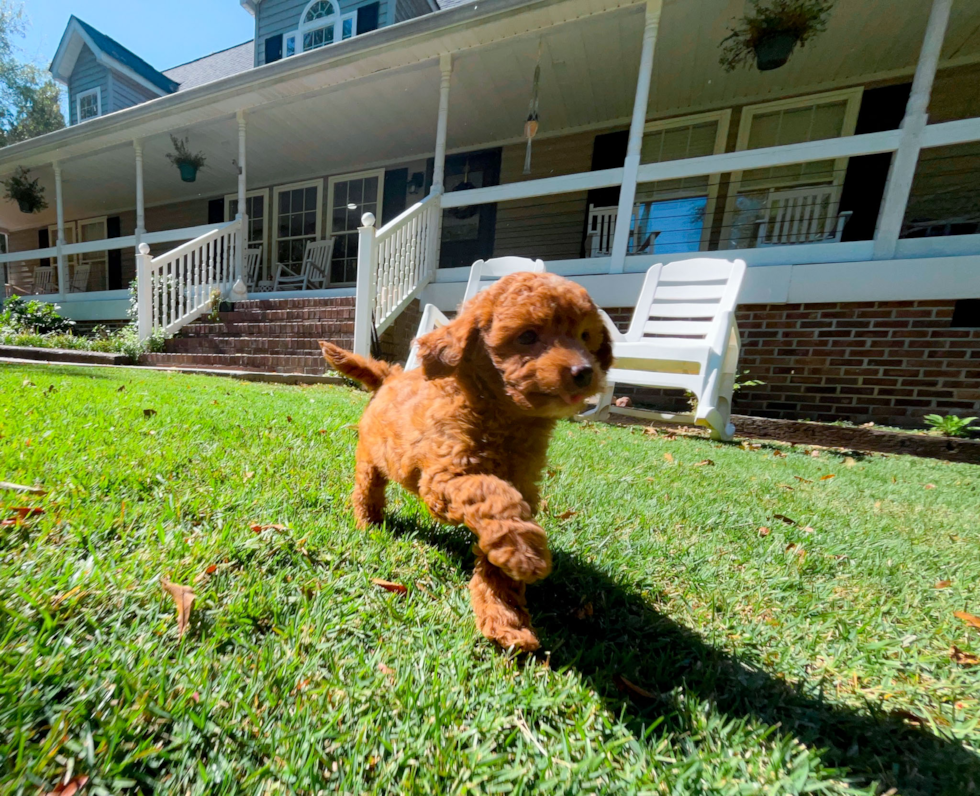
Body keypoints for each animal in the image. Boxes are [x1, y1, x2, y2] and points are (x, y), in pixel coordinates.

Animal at [324, 270, 612, 648]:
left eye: (584, 336)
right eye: (527, 336)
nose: (584, 371)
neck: (506, 418)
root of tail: (391, 377)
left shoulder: (523, 486)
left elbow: (501, 541)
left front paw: (505, 618)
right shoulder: (444, 479)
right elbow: (491, 493)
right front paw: (525, 553)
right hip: (371, 459)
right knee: (366, 491)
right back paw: (368, 524)